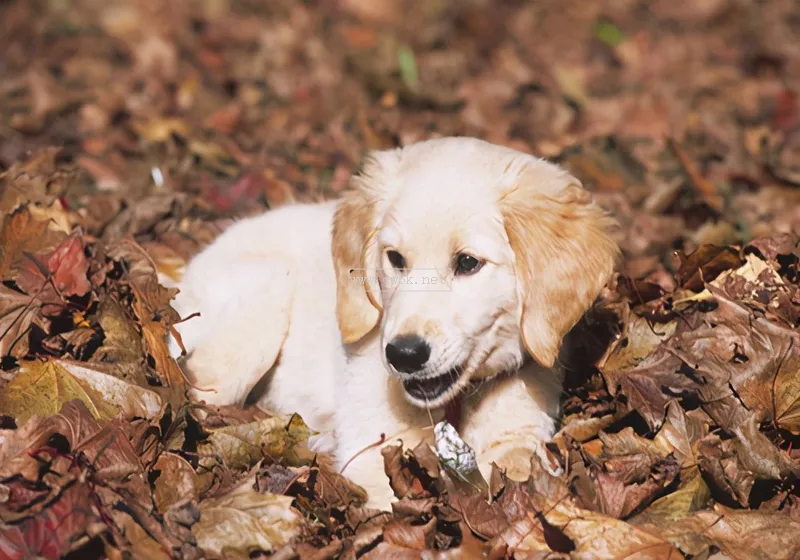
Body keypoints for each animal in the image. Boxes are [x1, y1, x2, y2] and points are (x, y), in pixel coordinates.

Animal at [167, 136, 620, 508]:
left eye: (468, 263)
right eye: (396, 258)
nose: (404, 355)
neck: (451, 404)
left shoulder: (519, 428)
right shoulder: (372, 449)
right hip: (268, 290)